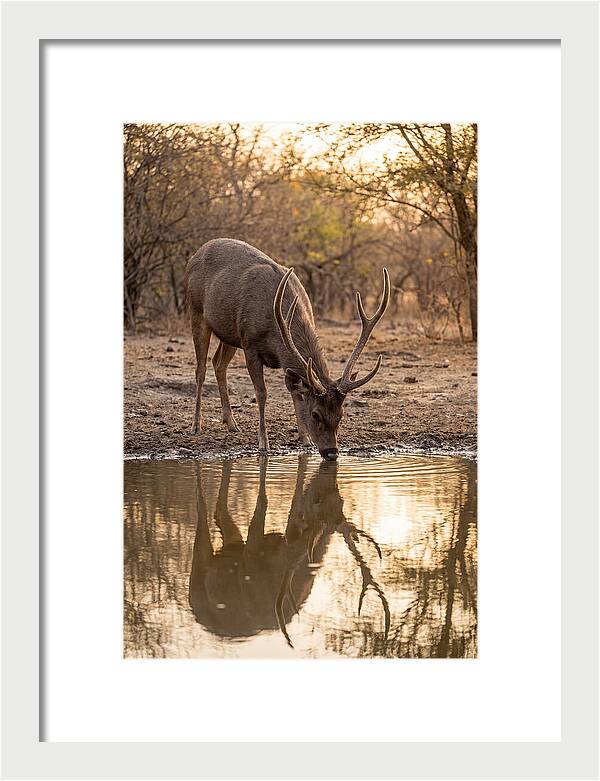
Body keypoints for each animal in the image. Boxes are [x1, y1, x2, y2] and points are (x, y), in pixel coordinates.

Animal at [185, 238, 390, 460]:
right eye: (315, 414)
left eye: (341, 415)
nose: (332, 453)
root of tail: (195, 254)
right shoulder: (250, 344)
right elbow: (262, 392)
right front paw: (263, 443)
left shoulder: (280, 358)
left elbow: (295, 393)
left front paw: (305, 439)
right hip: (196, 311)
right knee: (201, 369)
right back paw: (196, 425)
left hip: (229, 333)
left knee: (218, 363)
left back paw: (231, 423)